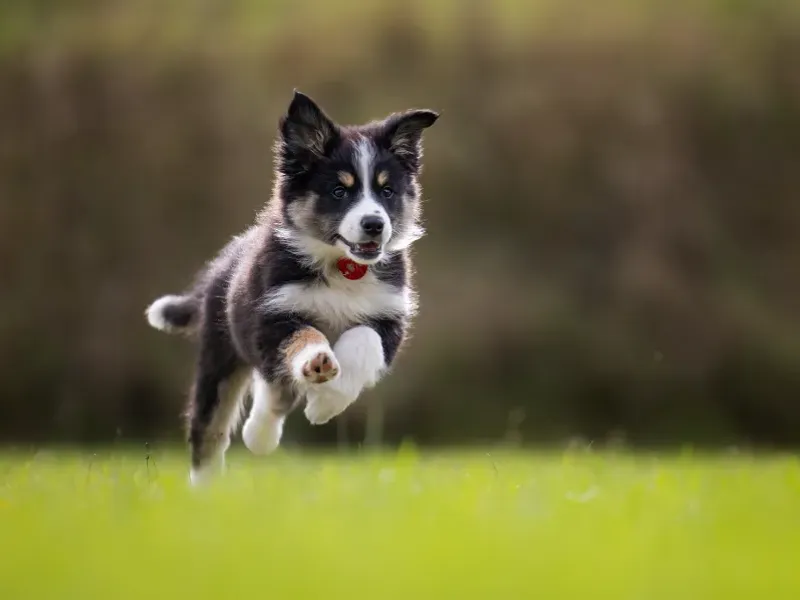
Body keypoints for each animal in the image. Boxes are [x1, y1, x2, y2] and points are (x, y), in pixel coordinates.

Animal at [144, 90, 438, 482]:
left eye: (386, 191)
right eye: (339, 191)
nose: (375, 225)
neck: (342, 266)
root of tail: (220, 264)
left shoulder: (389, 318)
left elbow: (363, 341)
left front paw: (325, 403)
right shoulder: (273, 314)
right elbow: (304, 336)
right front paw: (317, 362)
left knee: (273, 388)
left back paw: (259, 434)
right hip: (220, 356)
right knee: (211, 429)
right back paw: (212, 483)